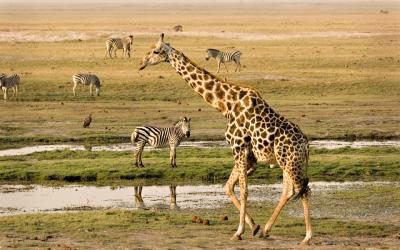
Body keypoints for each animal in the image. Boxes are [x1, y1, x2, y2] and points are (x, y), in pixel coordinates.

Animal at [140, 33, 312, 244]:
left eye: (156, 51)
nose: (142, 62)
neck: (226, 105)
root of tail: (306, 145)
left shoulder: (238, 146)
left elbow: (243, 190)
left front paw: (238, 232)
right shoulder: (247, 155)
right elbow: (229, 187)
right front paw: (254, 226)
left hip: (290, 162)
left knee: (303, 190)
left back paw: (307, 237)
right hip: (286, 162)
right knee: (290, 190)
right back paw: (266, 230)